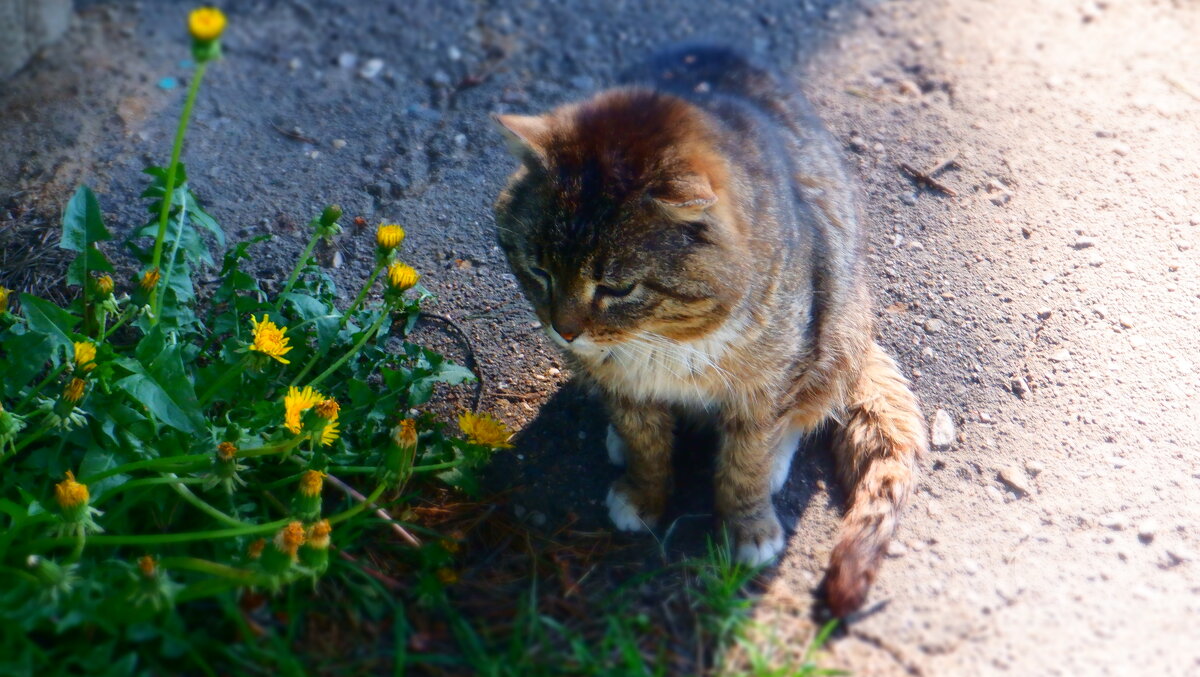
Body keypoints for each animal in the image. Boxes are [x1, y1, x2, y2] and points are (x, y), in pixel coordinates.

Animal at [492, 46, 921, 619]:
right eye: (539, 271)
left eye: (617, 287)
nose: (564, 332)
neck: (667, 341)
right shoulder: (626, 386)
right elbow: (646, 445)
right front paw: (643, 493)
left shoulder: (765, 386)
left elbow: (745, 464)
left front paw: (750, 526)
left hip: (839, 328)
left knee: (809, 407)